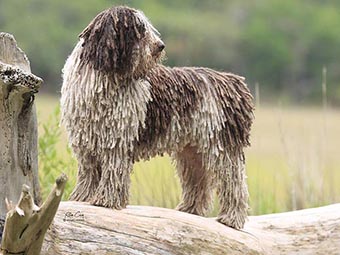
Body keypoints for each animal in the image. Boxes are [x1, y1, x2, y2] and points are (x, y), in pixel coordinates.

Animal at [60, 5, 252, 229]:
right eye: (139, 30)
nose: (160, 46)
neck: (104, 79)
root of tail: (232, 81)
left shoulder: (117, 141)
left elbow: (113, 171)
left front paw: (106, 200)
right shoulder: (86, 143)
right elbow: (89, 173)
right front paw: (82, 198)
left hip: (221, 147)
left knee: (235, 183)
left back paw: (232, 218)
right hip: (191, 151)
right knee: (199, 181)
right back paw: (189, 210)